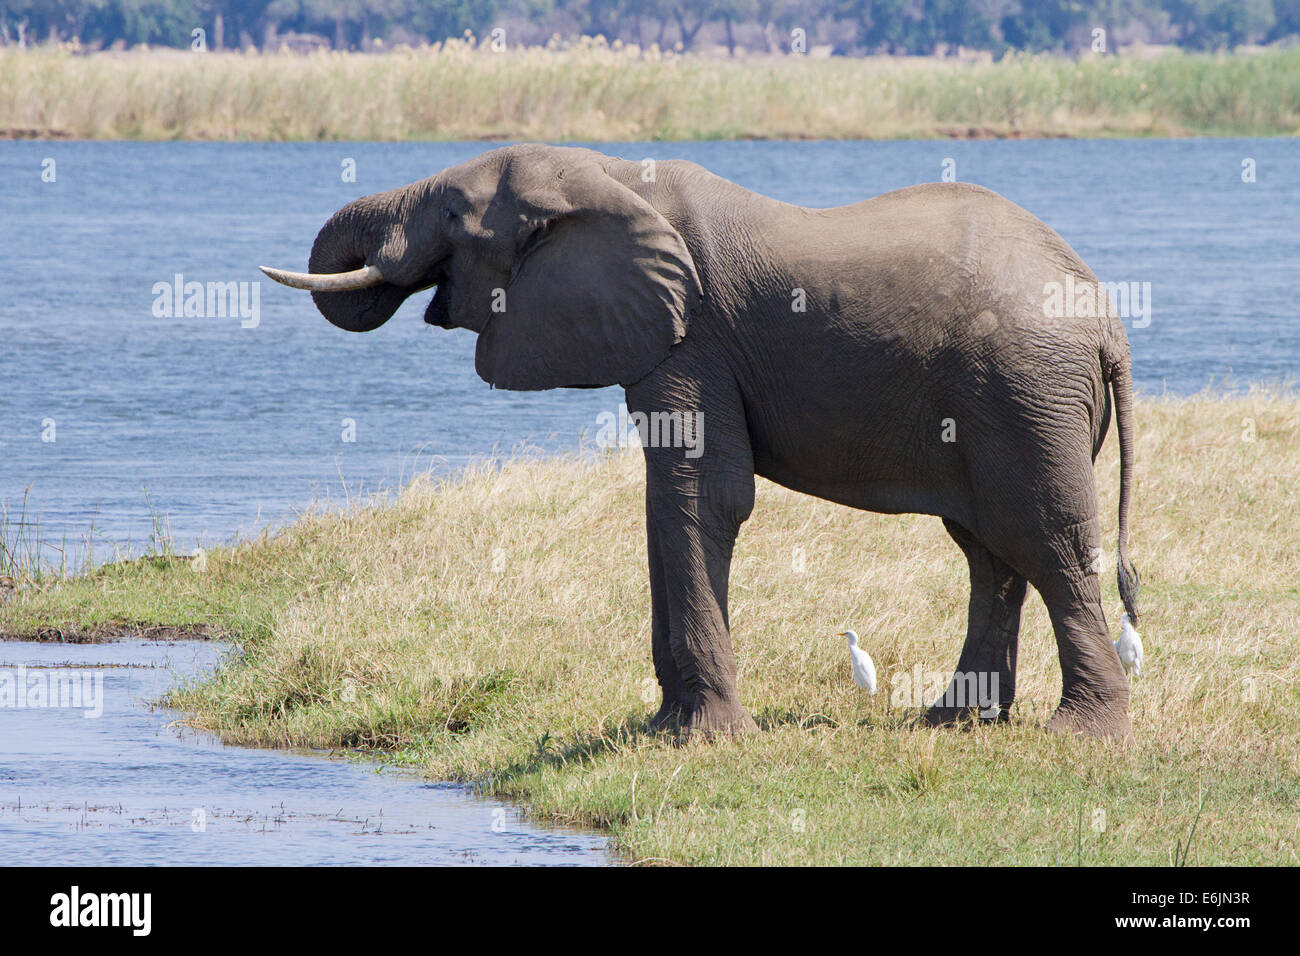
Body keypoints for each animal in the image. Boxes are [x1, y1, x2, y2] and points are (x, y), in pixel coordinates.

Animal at [261, 141, 1138, 738]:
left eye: (451, 214)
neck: (606, 170)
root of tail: (1104, 316)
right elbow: (670, 499)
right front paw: (663, 730)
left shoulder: (693, 339)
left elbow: (702, 495)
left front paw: (704, 738)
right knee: (990, 547)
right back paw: (950, 723)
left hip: (1025, 393)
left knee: (1045, 537)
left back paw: (1083, 735)